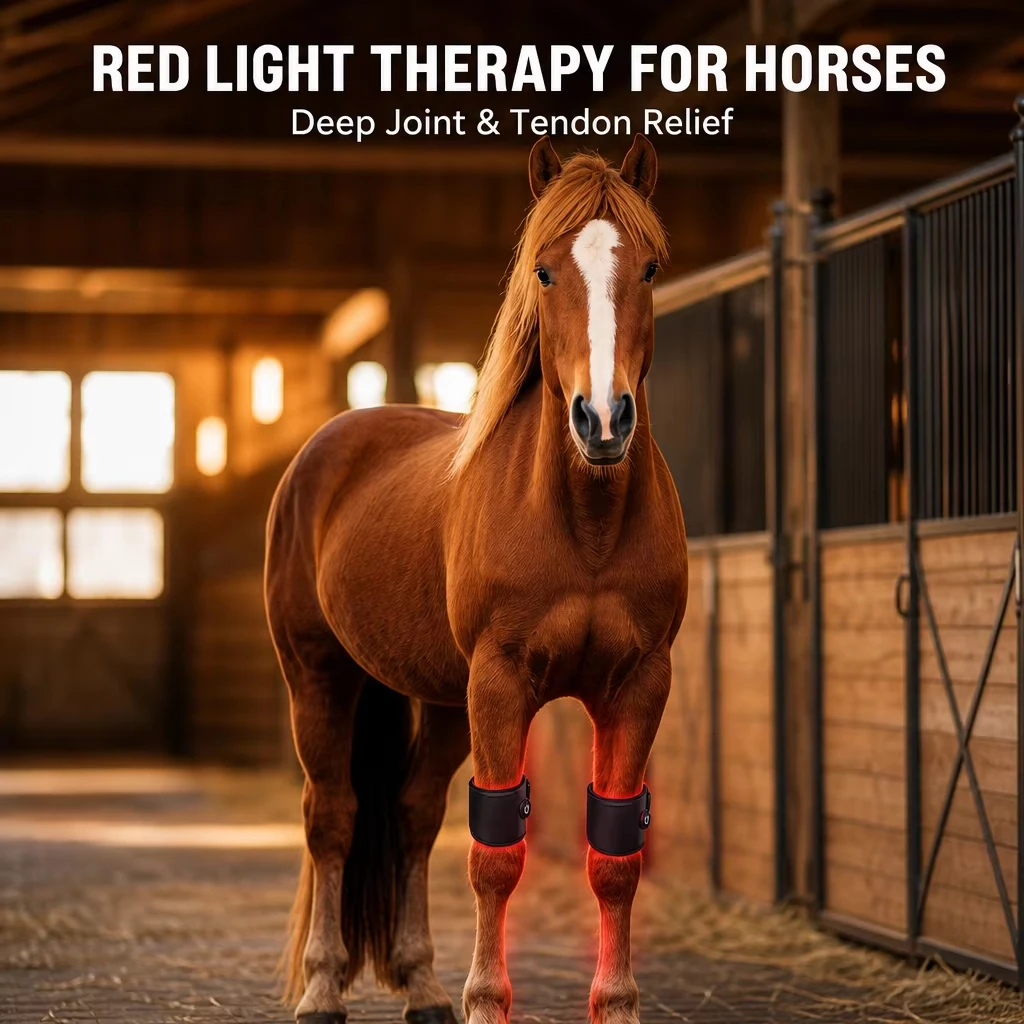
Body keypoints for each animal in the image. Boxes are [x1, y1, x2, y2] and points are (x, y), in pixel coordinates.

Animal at [265, 133, 688, 1024]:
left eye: (650, 268)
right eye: (544, 271)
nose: (603, 420)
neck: (585, 523)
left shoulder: (640, 685)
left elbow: (616, 856)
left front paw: (617, 1003)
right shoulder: (499, 683)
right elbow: (495, 855)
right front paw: (488, 1000)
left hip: (440, 699)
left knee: (413, 814)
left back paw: (422, 984)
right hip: (319, 675)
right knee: (333, 816)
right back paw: (322, 986)